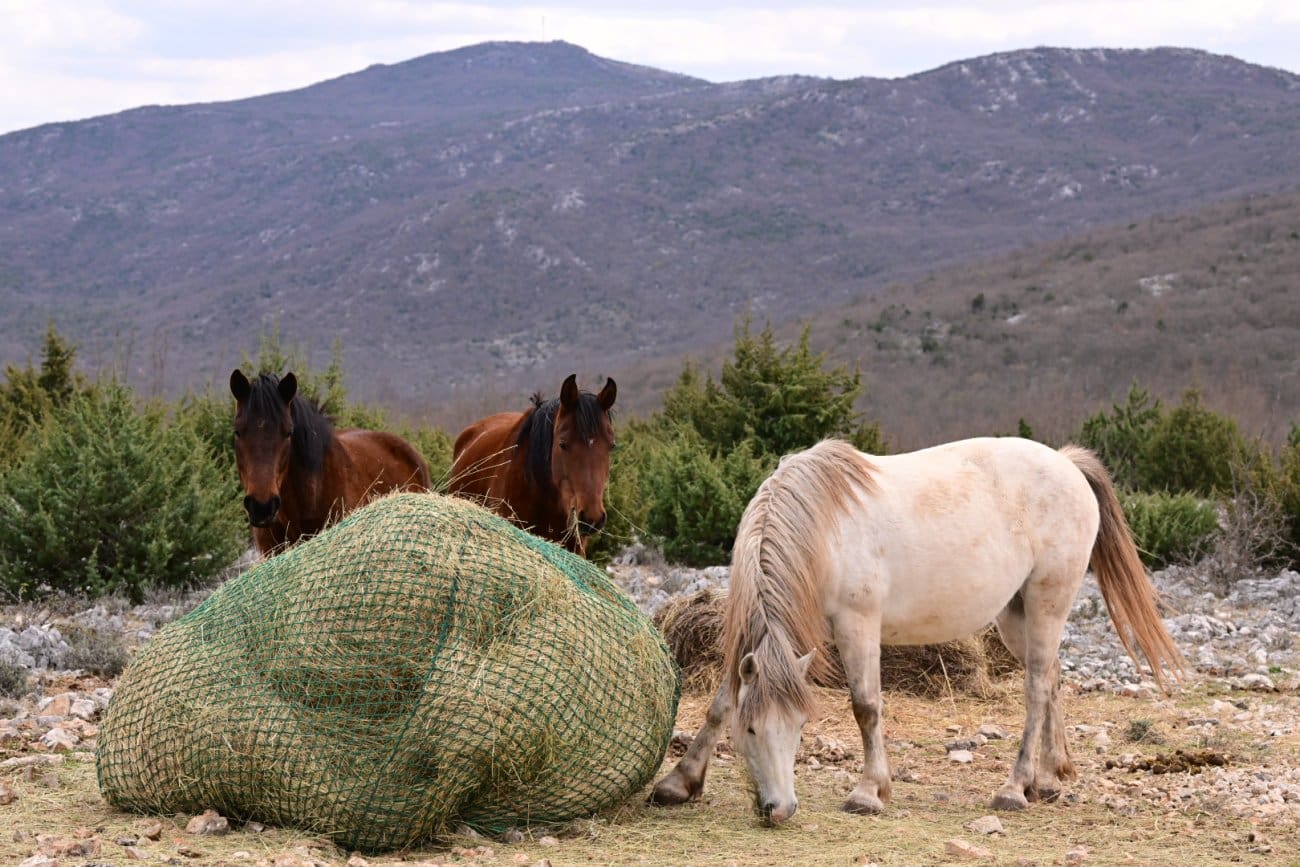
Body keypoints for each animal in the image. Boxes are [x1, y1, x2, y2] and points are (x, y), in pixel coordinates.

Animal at [650, 436, 1183, 823]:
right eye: (752, 729)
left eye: (801, 727)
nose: (780, 810)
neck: (823, 534)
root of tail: (1067, 464)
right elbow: (721, 703)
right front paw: (678, 782)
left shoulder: (857, 624)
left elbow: (866, 706)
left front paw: (869, 791)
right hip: (1017, 615)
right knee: (1051, 678)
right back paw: (1048, 779)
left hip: (1047, 601)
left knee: (1035, 688)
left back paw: (1014, 788)